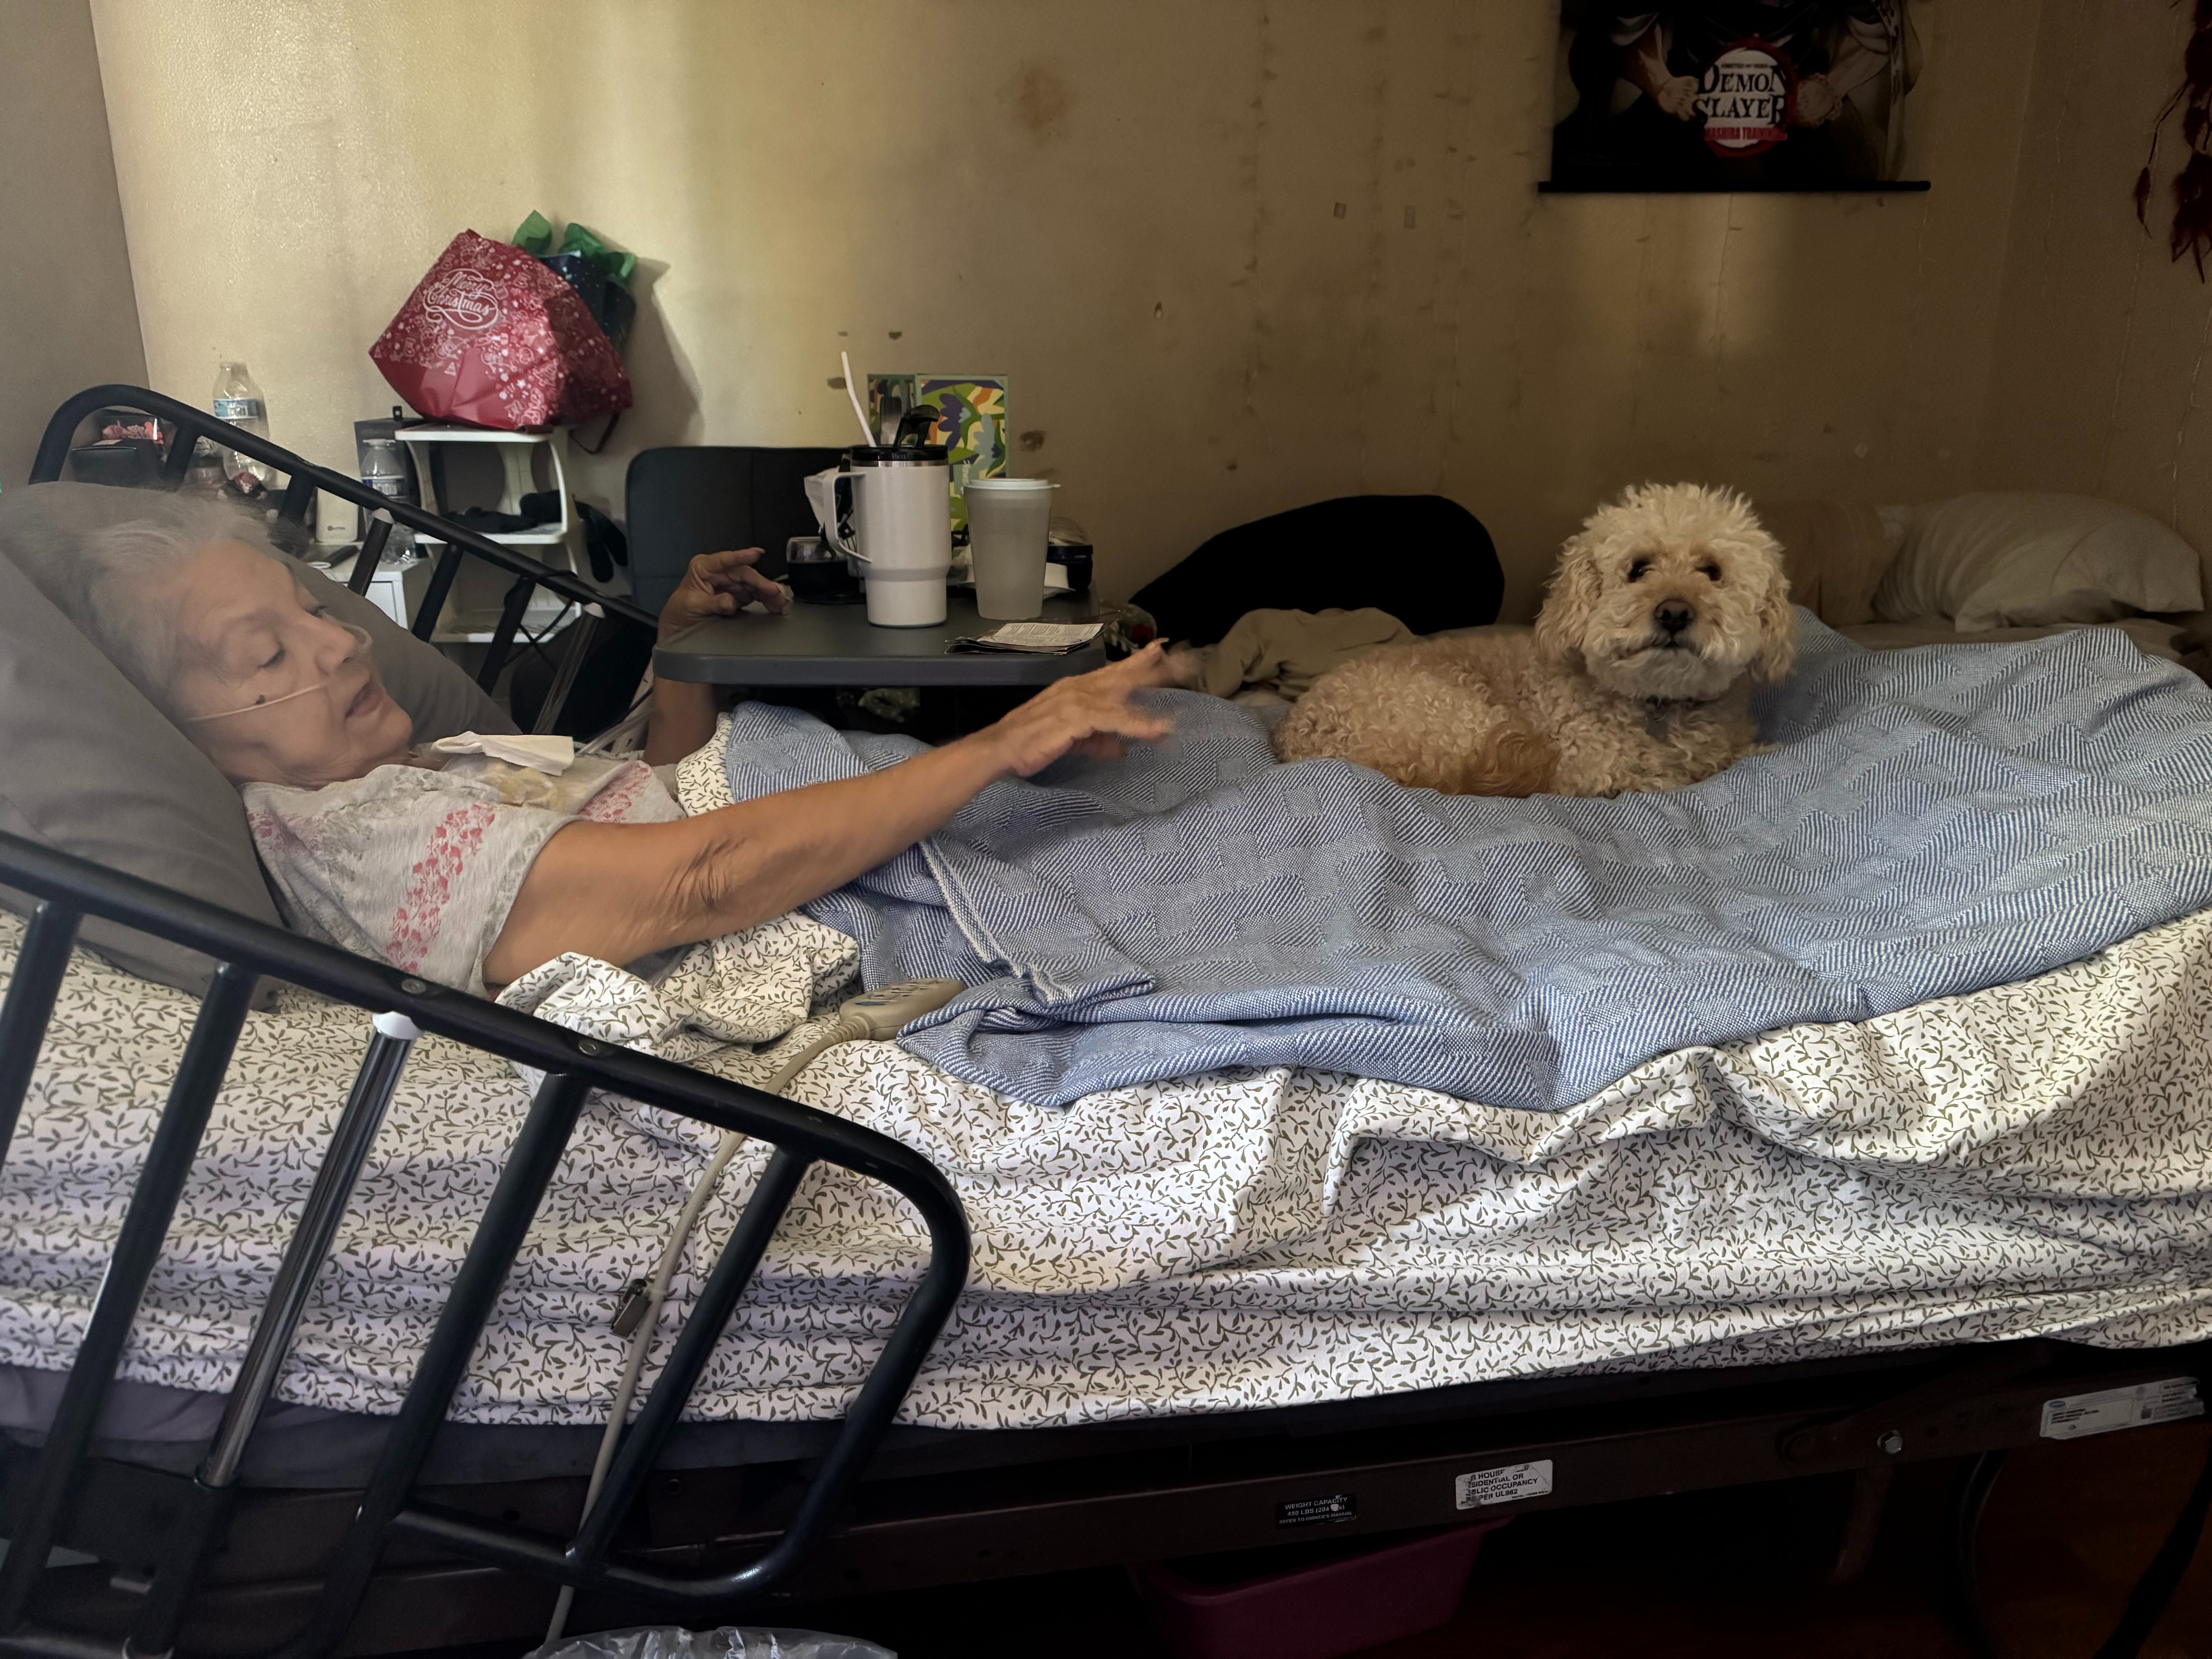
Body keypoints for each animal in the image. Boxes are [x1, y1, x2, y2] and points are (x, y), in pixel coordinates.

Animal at [1270, 483, 1795, 797]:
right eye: (1638, 569)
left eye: (1713, 572)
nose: (1674, 613)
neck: (1658, 705)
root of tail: (1295, 736)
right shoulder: (1596, 768)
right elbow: (1664, 776)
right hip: (1458, 717)